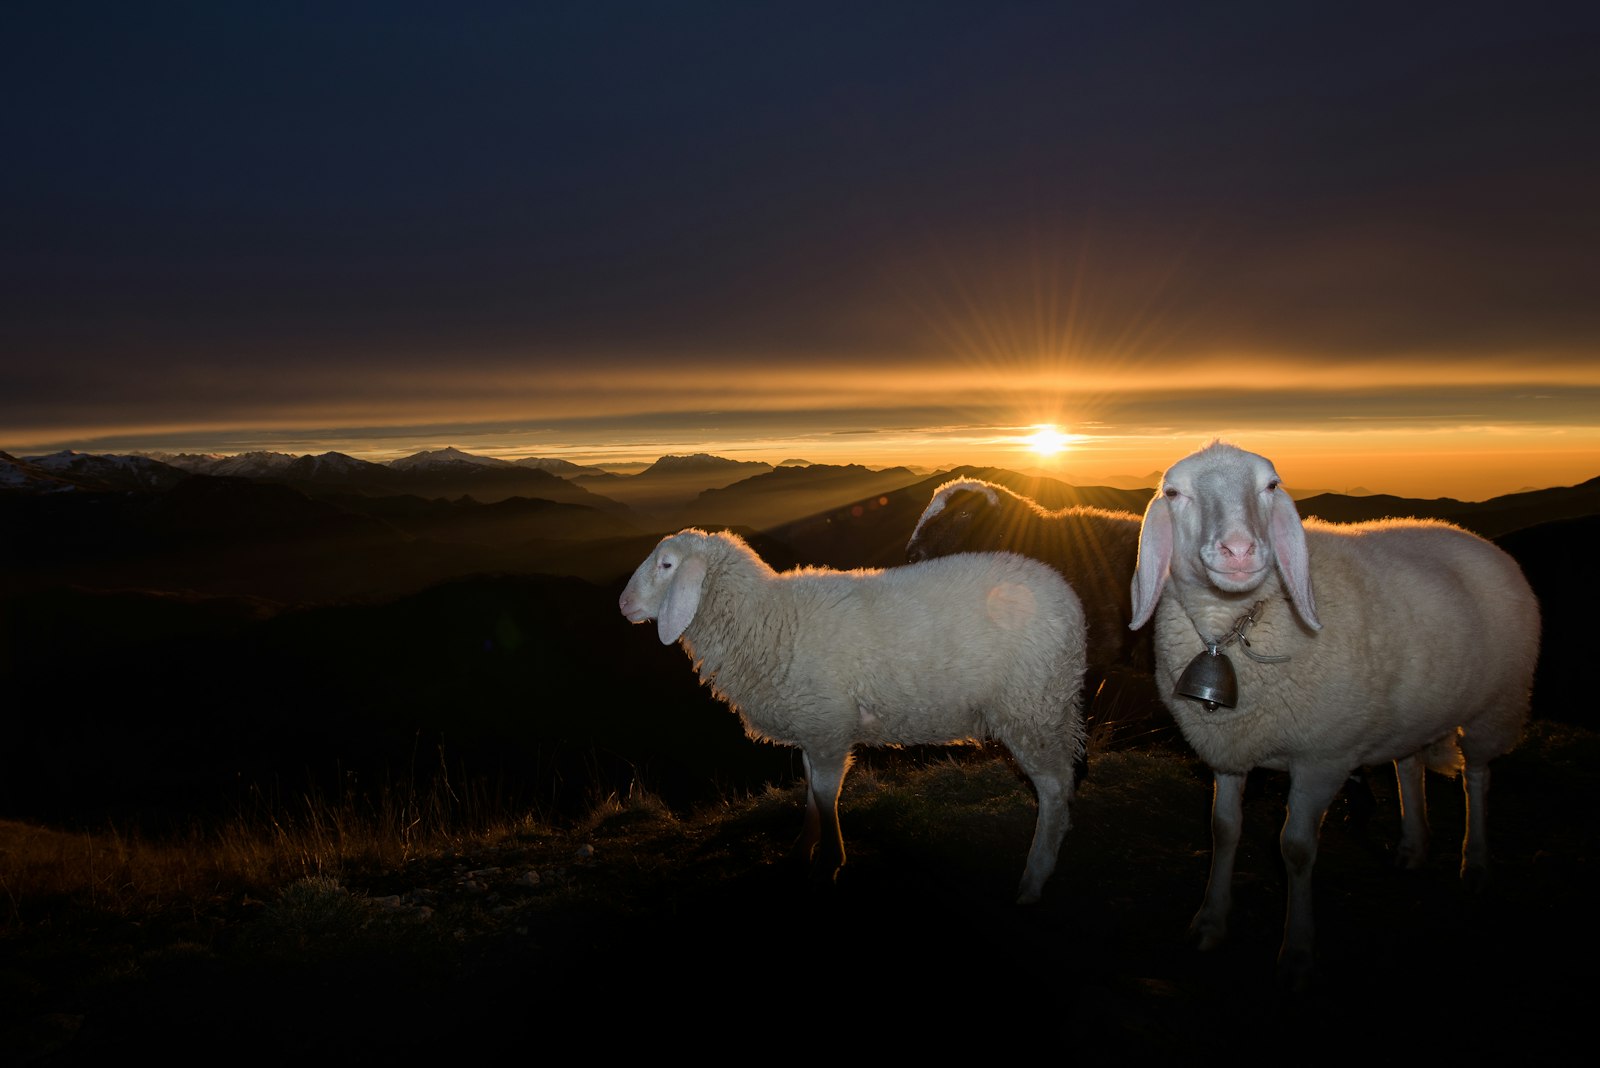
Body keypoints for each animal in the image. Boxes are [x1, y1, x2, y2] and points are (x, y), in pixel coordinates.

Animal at [617, 524, 1094, 901]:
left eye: (667, 565)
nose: (622, 604)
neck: (767, 619)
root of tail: (1070, 602)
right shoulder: (813, 727)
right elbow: (810, 790)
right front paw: (802, 848)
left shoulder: (829, 727)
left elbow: (827, 794)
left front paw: (828, 863)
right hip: (1045, 707)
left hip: (1032, 707)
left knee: (1053, 789)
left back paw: (1034, 876)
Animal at [1126, 438, 1536, 991]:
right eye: (1173, 493)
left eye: (1271, 485)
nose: (1239, 550)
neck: (1231, 629)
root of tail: (1473, 538)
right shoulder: (1229, 746)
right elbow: (1223, 829)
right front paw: (1210, 922)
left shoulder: (1322, 757)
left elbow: (1296, 849)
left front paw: (1297, 952)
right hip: (1411, 714)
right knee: (1409, 765)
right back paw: (1413, 845)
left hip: (1497, 705)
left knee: (1477, 777)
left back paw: (1475, 865)